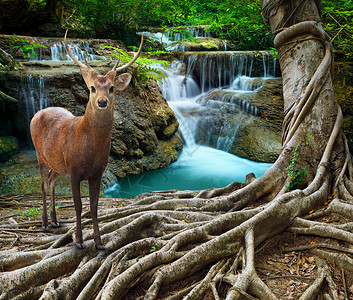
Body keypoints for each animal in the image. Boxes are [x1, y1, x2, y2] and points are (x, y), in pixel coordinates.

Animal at [30, 31, 142, 251]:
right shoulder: (74, 169)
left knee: (52, 180)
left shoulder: (97, 173)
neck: (89, 150)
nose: (102, 102)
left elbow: (94, 206)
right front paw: (79, 241)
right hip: (39, 154)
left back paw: (55, 221)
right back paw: (45, 223)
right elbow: (78, 205)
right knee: (43, 184)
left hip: (58, 163)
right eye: (91, 88)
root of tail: (37, 113)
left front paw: (99, 242)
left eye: (112, 88)